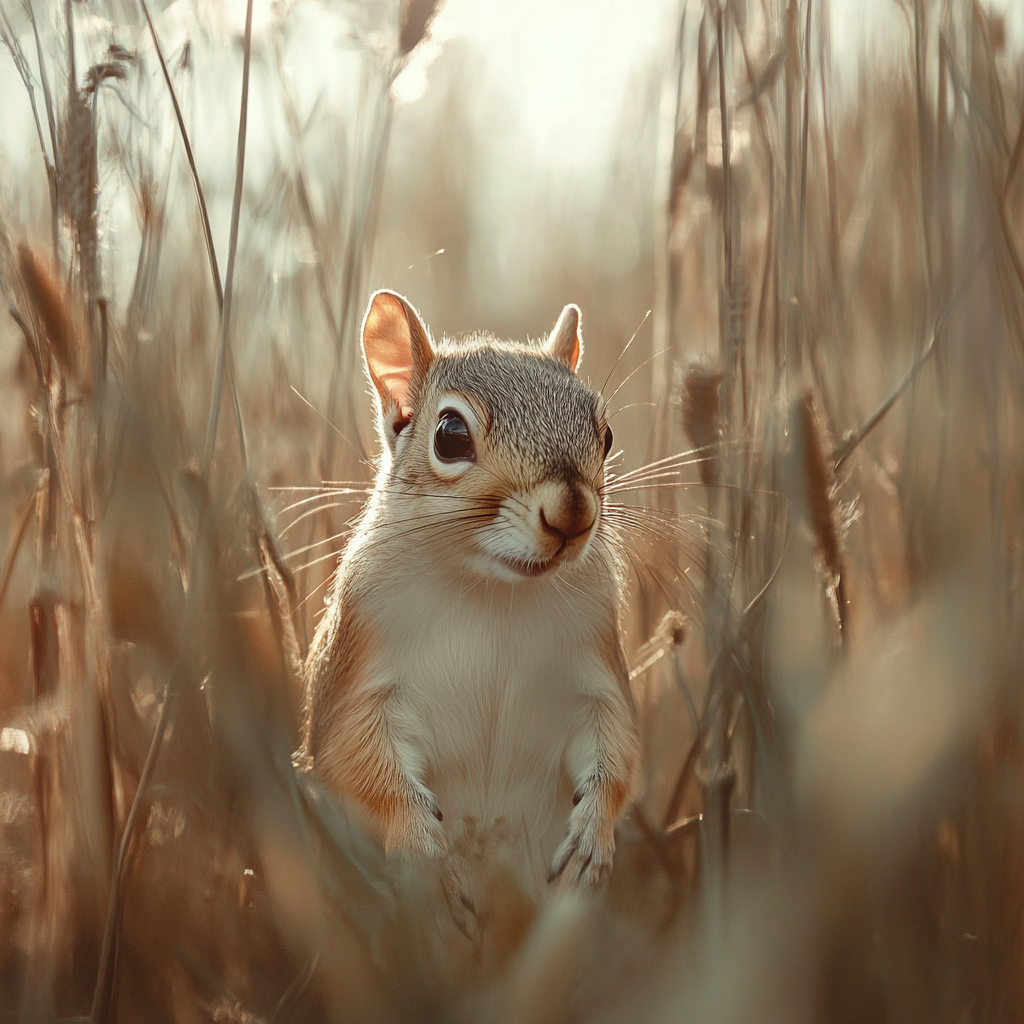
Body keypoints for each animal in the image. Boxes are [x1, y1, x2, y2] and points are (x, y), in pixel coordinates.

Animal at [299, 288, 638, 897]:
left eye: (606, 435)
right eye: (450, 436)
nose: (573, 515)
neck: (491, 590)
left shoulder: (596, 664)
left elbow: (617, 748)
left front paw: (590, 838)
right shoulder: (357, 676)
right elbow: (358, 762)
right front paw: (424, 852)